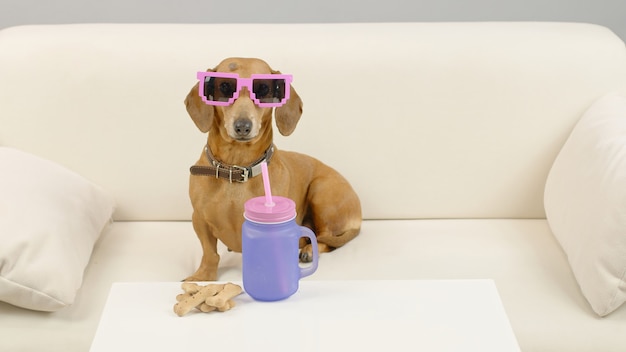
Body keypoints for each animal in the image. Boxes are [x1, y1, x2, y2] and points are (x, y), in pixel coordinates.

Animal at [183, 57, 360, 282]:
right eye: (224, 86)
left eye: (263, 89)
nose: (242, 126)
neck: (237, 168)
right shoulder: (199, 219)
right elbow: (210, 253)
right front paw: (203, 276)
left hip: (321, 192)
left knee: (325, 238)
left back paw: (309, 250)